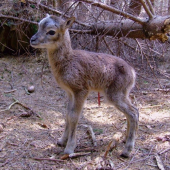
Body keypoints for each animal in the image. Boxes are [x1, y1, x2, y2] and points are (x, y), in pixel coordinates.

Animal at [30, 14, 139, 158]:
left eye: (51, 31)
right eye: (39, 25)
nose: (32, 39)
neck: (68, 61)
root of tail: (132, 73)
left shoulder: (81, 90)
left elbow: (73, 116)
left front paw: (69, 148)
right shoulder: (69, 92)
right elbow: (67, 114)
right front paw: (61, 141)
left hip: (115, 94)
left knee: (133, 113)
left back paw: (127, 151)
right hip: (123, 93)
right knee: (133, 110)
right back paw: (125, 139)